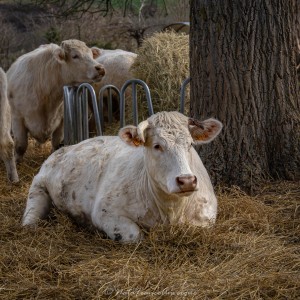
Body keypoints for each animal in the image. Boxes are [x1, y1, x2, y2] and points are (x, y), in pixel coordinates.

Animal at [22, 111, 223, 243]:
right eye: (157, 146)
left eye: (190, 144)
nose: (187, 181)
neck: (171, 210)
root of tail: (66, 148)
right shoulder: (105, 212)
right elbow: (135, 236)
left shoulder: (206, 218)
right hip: (38, 186)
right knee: (32, 213)